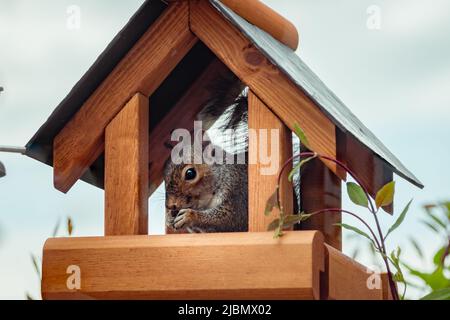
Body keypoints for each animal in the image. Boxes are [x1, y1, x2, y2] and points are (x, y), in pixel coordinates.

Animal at [164, 76, 251, 234]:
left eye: (190, 173)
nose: (171, 206)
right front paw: (170, 218)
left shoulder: (237, 192)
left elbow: (230, 219)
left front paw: (189, 216)